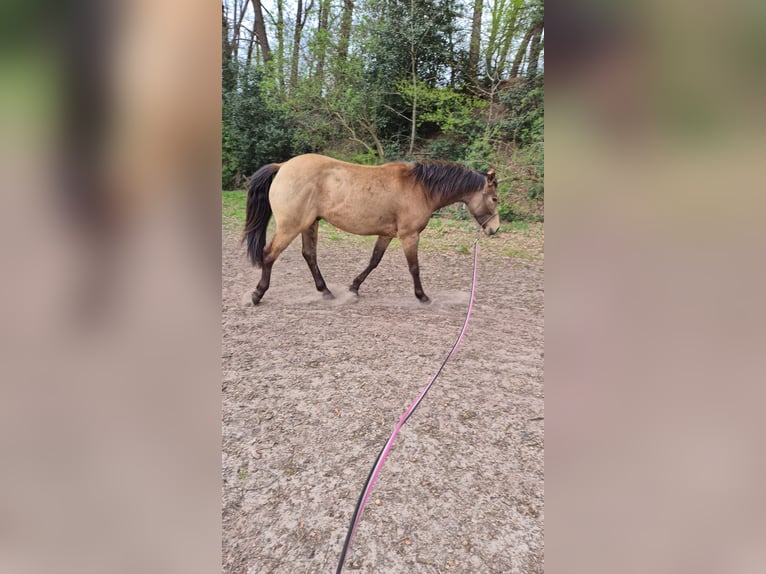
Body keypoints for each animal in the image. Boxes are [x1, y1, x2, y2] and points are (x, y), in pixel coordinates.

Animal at [243, 153, 500, 305]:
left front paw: (354, 287)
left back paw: (325, 291)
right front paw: (422, 296)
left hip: (309, 224)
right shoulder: (409, 236)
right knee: (269, 254)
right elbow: (414, 268)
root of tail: (283, 166)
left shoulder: (386, 235)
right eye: (495, 199)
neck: (420, 188)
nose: (494, 229)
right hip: (290, 226)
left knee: (309, 255)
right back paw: (257, 294)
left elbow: (374, 261)